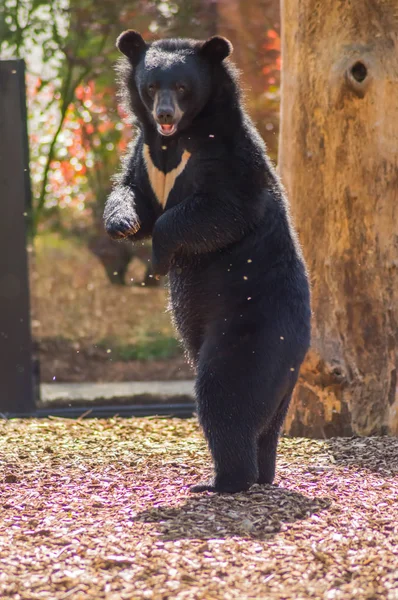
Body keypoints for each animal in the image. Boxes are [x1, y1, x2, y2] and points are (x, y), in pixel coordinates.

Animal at [104, 29, 312, 492]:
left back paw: (222, 481)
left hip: (252, 331)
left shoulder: (229, 159)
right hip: (277, 379)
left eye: (183, 87)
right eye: (151, 87)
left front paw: (159, 261)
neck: (176, 140)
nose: (164, 113)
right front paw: (121, 225)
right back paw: (261, 474)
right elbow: (132, 192)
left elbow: (219, 210)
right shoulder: (144, 155)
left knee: (225, 396)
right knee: (265, 423)